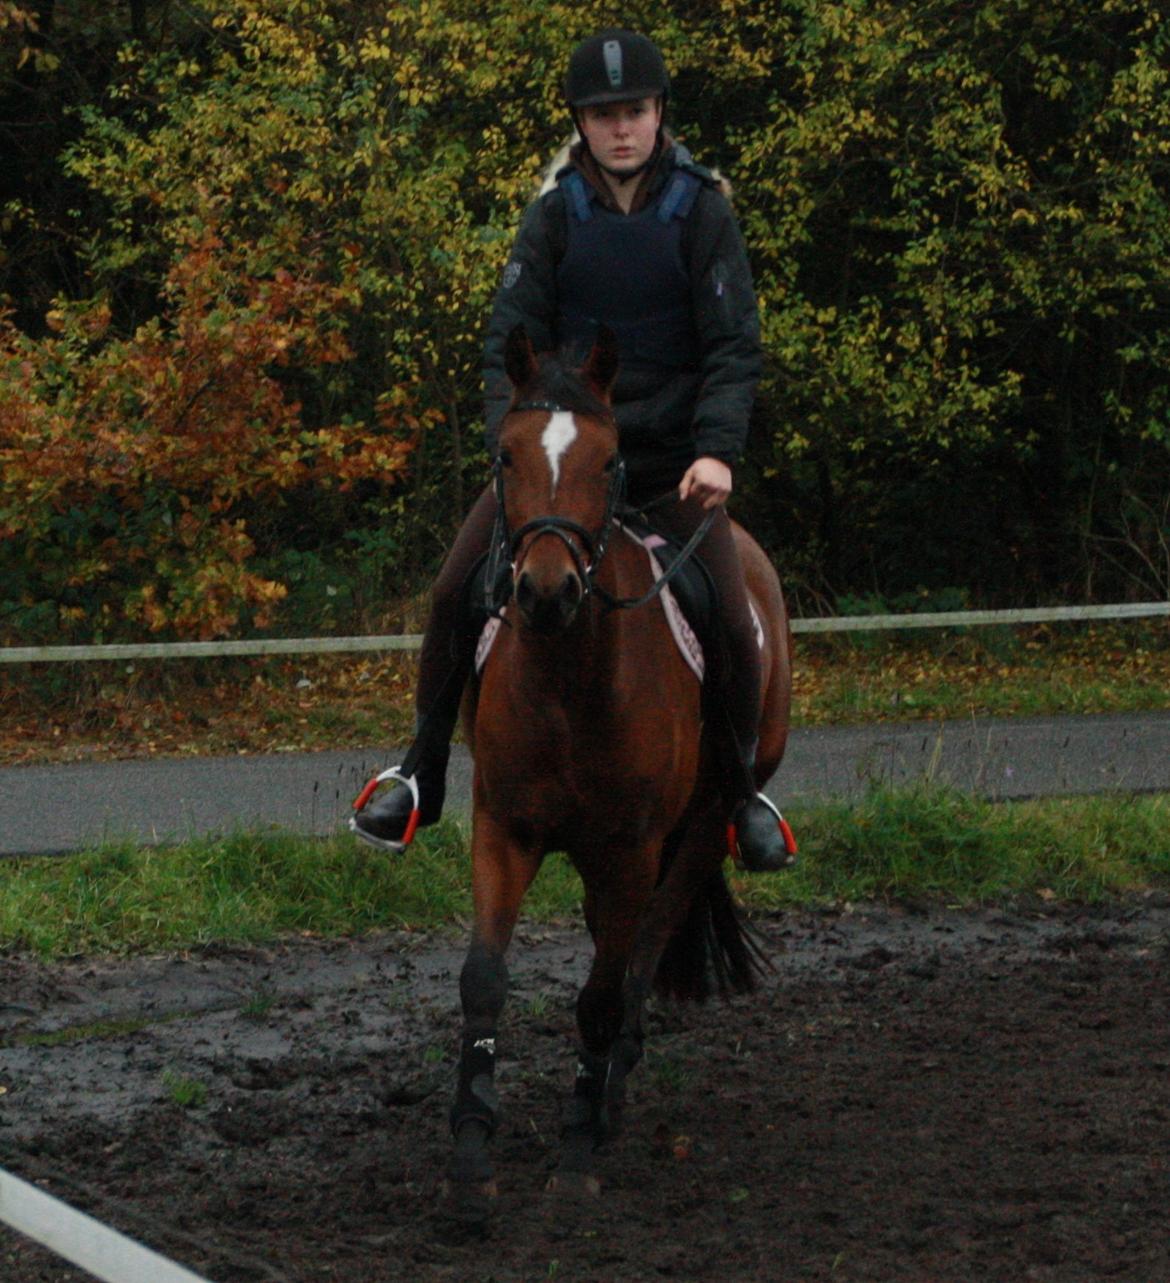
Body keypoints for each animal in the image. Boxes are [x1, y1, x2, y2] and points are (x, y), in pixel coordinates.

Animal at [441, 320, 795, 1221]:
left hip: (700, 828)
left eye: (607, 461)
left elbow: (604, 993)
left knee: (639, 955)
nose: (546, 590)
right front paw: (472, 1152)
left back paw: (608, 1097)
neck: (570, 681)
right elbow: (484, 979)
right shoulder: (505, 830)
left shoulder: (633, 849)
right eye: (506, 455)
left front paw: (574, 1150)